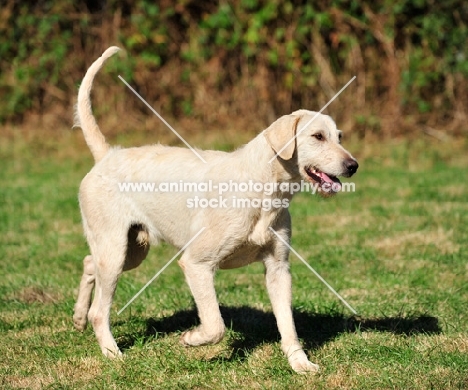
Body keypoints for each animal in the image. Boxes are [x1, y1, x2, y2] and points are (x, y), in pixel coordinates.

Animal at [72, 47, 358, 374]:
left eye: (339, 137)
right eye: (317, 137)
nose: (353, 165)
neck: (263, 190)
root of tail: (106, 155)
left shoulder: (278, 268)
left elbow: (288, 325)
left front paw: (299, 363)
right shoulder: (197, 264)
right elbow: (215, 326)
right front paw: (191, 339)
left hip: (130, 251)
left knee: (88, 263)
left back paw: (78, 318)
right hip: (115, 251)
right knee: (99, 310)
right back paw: (111, 352)